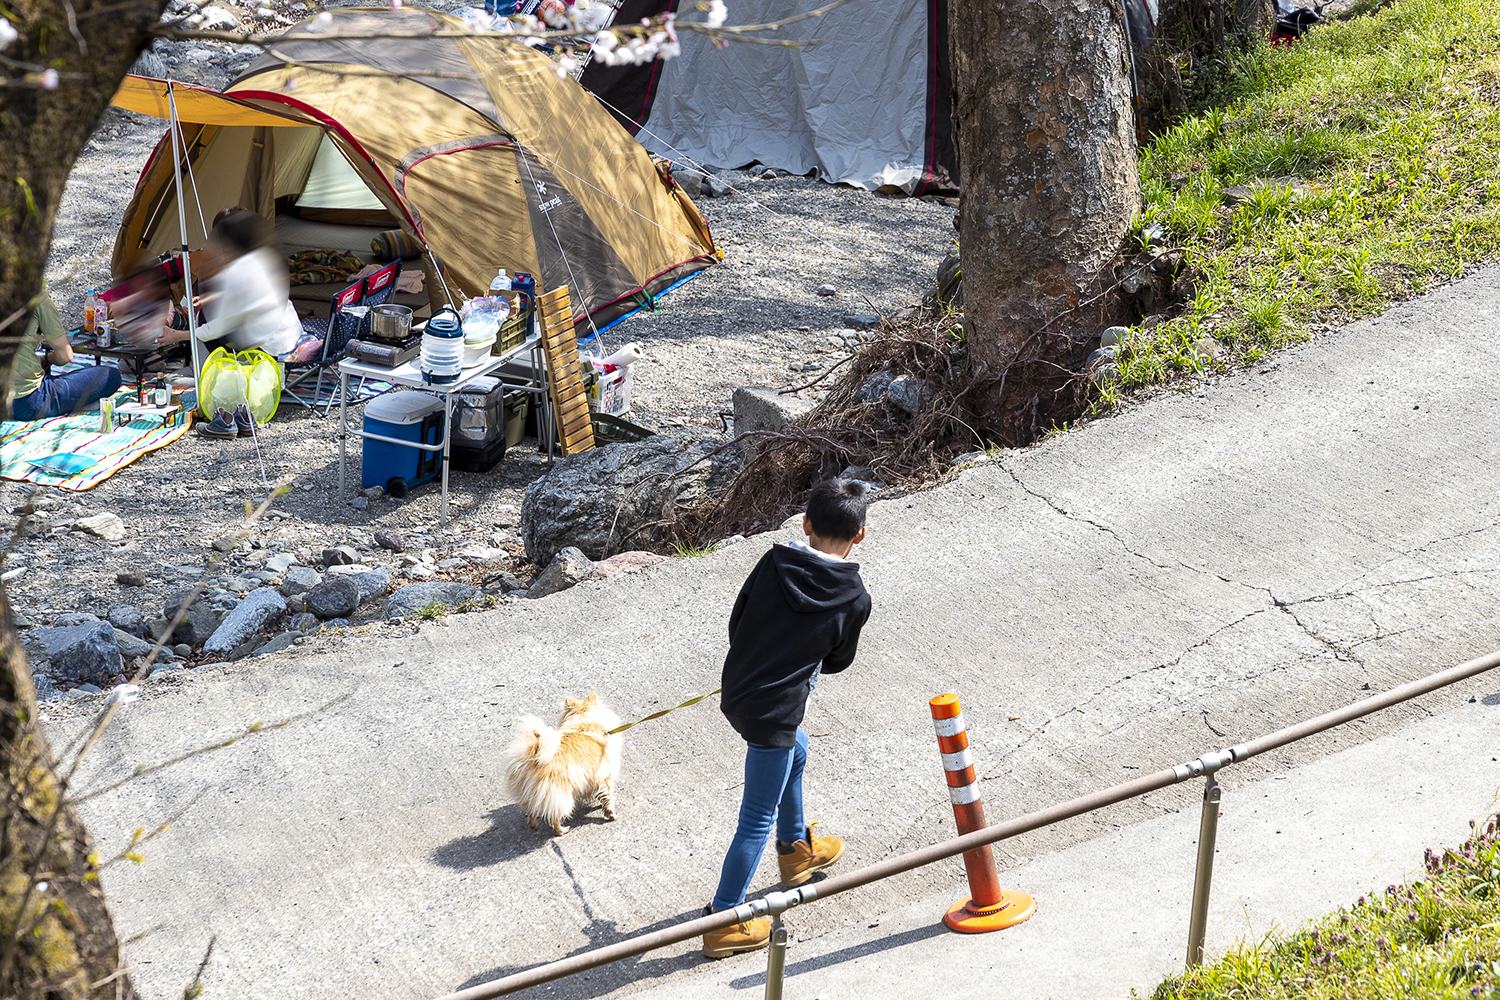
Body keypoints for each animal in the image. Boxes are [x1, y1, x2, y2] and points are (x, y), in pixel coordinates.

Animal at [504, 689, 621, 839]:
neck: (584, 725)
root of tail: (534, 758)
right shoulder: (605, 777)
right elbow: (607, 796)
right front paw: (611, 814)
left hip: (529, 794)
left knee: (530, 811)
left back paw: (533, 825)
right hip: (561, 795)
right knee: (554, 816)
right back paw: (561, 830)